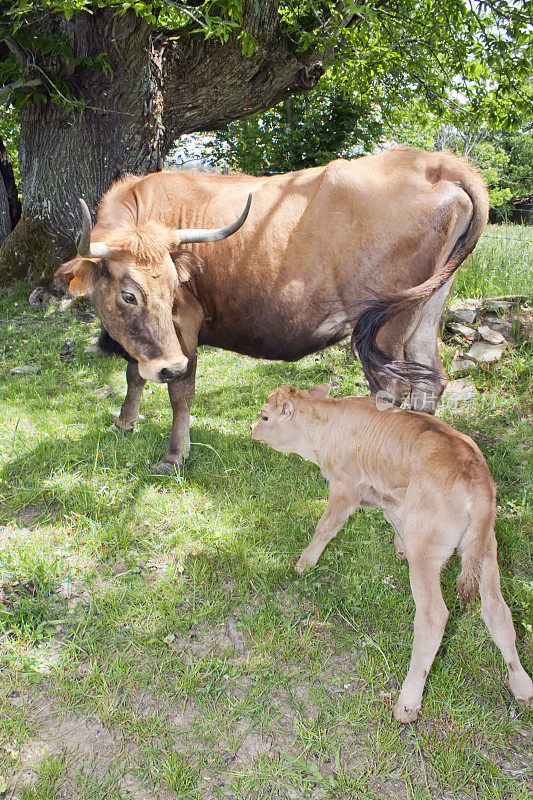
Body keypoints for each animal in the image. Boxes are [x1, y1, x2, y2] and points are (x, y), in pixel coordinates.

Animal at [55, 148, 486, 468]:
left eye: (175, 287)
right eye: (129, 295)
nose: (169, 365)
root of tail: (435, 163)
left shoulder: (184, 326)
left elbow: (181, 391)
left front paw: (174, 455)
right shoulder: (148, 343)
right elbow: (134, 372)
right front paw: (125, 423)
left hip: (385, 326)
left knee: (392, 388)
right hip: (424, 313)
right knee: (430, 381)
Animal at [250, 384, 532, 720]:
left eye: (265, 416)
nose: (252, 429)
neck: (325, 422)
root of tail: (473, 471)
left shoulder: (345, 489)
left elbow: (325, 527)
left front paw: (304, 564)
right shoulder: (389, 496)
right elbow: (392, 519)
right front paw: (400, 549)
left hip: (428, 554)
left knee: (433, 616)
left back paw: (407, 703)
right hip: (486, 551)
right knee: (496, 610)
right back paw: (522, 687)